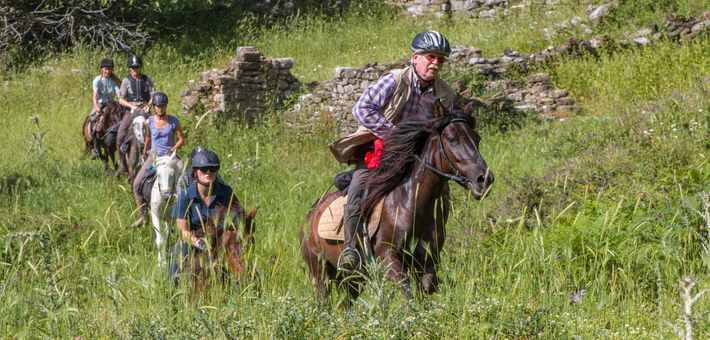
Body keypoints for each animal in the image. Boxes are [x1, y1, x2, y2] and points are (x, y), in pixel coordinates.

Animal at [300, 98, 496, 300]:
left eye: (477, 138)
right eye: (451, 139)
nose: (484, 179)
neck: (412, 204)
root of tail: (312, 213)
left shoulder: (426, 262)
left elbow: (424, 292)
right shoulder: (387, 257)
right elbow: (409, 292)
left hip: (353, 281)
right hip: (319, 270)